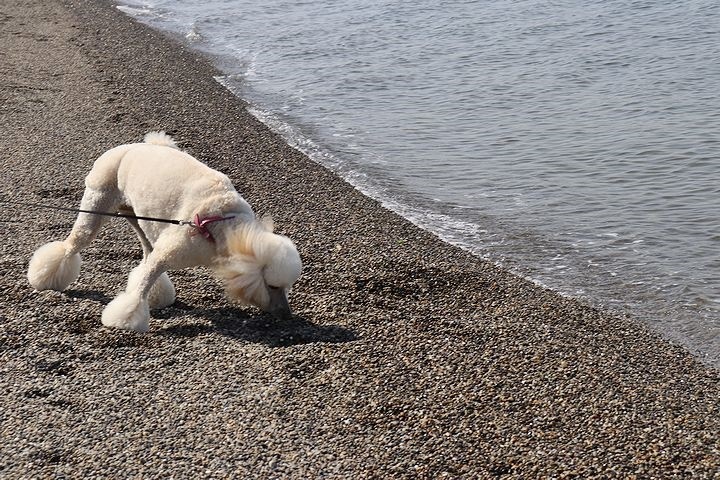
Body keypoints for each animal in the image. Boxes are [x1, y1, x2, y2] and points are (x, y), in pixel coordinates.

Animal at [28, 132, 300, 334]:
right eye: (272, 285)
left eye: (287, 286)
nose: (287, 316)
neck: (222, 222)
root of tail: (127, 148)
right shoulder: (176, 247)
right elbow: (142, 286)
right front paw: (125, 318)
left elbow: (147, 273)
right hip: (97, 203)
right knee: (73, 244)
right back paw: (46, 277)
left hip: (138, 215)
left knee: (147, 250)